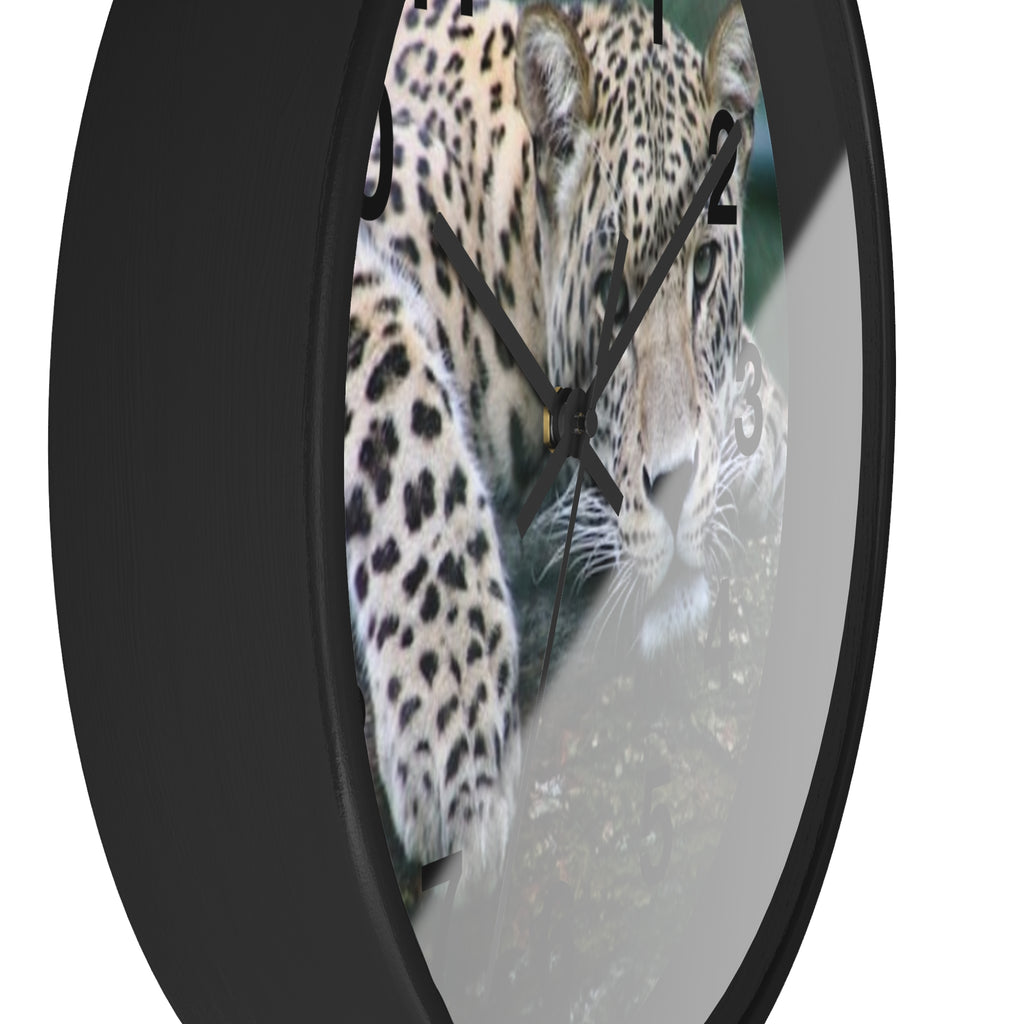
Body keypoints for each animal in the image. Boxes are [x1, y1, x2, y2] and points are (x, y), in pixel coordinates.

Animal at [344, 0, 788, 892]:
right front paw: (453, 728)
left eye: (703, 270)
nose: (676, 484)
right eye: (611, 293)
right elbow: (398, 390)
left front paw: (755, 432)